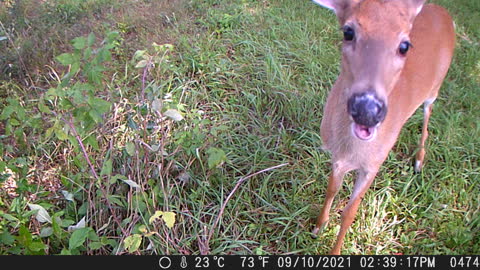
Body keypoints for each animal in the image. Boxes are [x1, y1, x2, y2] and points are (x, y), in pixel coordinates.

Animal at [310, 0, 456, 254]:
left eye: (405, 46)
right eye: (348, 32)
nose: (367, 110)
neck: (352, 150)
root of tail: (442, 11)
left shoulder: (373, 164)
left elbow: (349, 213)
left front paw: (335, 250)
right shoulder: (337, 157)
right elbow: (331, 190)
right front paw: (319, 226)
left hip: (435, 87)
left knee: (428, 114)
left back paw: (419, 161)